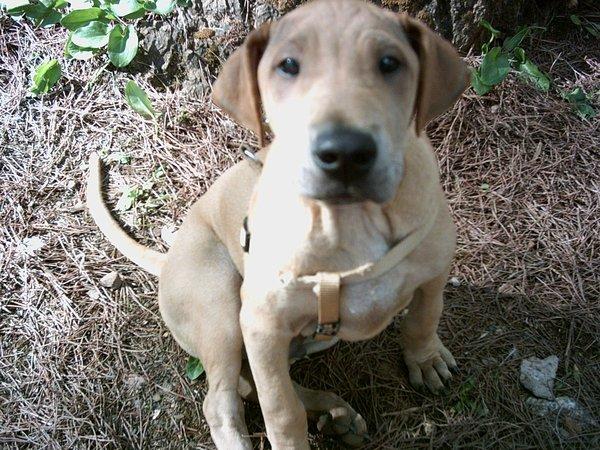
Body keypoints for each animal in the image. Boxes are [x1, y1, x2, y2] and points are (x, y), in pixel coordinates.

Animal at [86, 1, 468, 448]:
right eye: (288, 65)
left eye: (389, 63)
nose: (345, 153)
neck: (348, 221)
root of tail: (169, 258)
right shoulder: (261, 325)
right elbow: (282, 411)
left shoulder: (434, 271)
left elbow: (424, 318)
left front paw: (426, 359)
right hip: (220, 310)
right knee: (224, 400)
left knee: (249, 382)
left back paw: (336, 414)